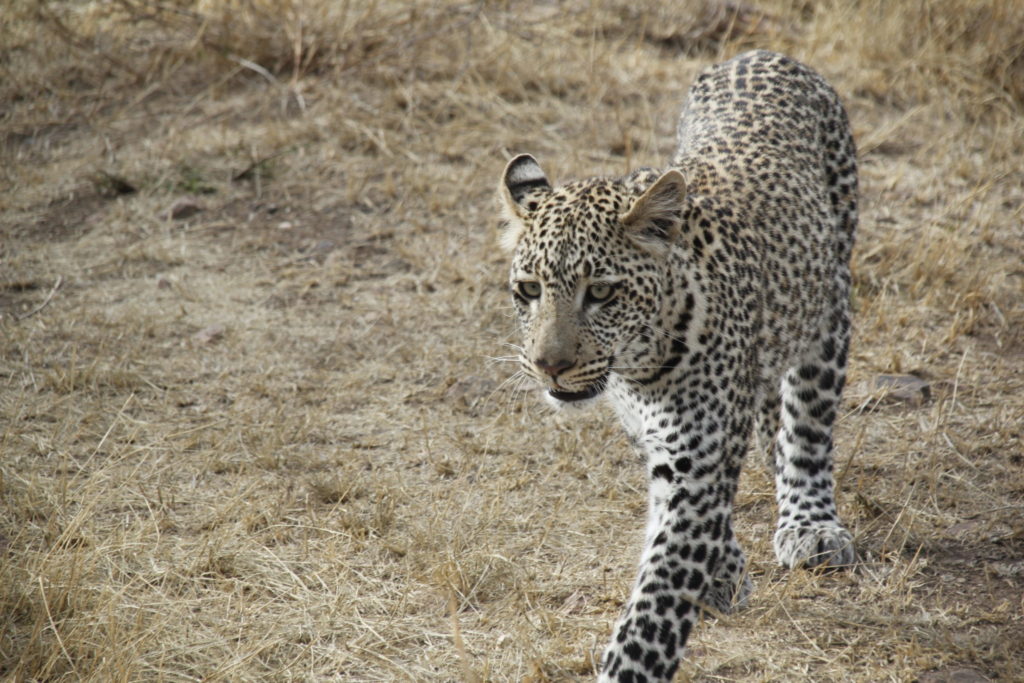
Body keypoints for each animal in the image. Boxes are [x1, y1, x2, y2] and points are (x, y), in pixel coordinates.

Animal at [499, 50, 860, 679]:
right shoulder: (657, 435)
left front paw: (628, 665)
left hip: (827, 311)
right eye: (528, 290)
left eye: (602, 293)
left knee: (807, 427)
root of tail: (764, 53)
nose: (548, 365)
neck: (642, 363)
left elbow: (655, 607)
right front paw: (724, 572)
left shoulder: (699, 463)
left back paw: (811, 524)